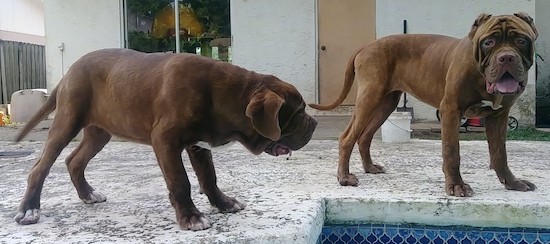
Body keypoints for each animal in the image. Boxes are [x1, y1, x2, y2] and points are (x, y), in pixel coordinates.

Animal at [14, 48, 320, 230]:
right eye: (299, 112)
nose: (315, 124)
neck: (227, 96)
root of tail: (70, 70)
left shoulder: (198, 145)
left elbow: (209, 177)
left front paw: (223, 203)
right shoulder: (165, 141)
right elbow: (180, 181)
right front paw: (191, 217)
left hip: (99, 132)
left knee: (74, 160)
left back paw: (88, 194)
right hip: (67, 123)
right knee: (39, 168)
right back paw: (29, 210)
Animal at [312, 12, 540, 196]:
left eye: (521, 40)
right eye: (489, 42)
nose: (506, 58)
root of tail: (367, 45)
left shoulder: (499, 116)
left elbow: (500, 153)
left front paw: (512, 183)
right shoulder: (451, 111)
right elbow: (452, 151)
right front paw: (456, 185)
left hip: (386, 104)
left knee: (365, 136)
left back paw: (370, 167)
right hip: (369, 98)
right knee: (347, 137)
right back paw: (344, 177)